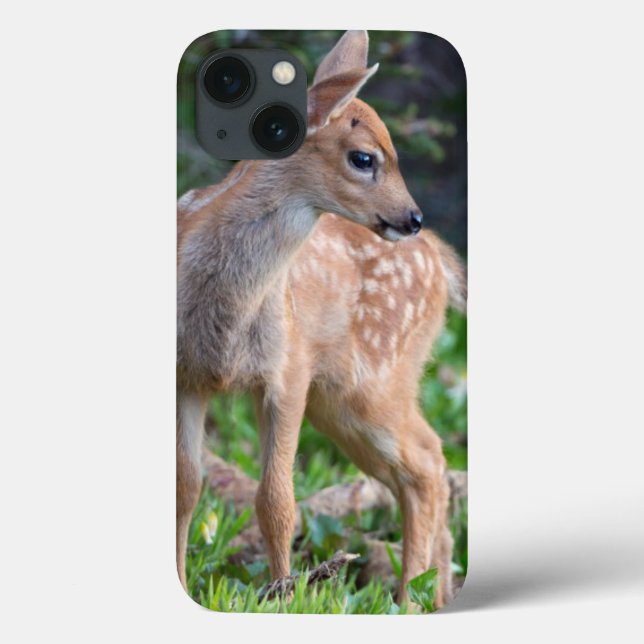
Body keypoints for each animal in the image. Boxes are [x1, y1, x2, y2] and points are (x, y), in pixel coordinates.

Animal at [177, 30, 466, 609]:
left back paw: (408, 599)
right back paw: (434, 594)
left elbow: (276, 499)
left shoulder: (287, 370)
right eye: (364, 157)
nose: (413, 216)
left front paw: (283, 595)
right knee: (423, 465)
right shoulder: (186, 377)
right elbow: (186, 489)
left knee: (426, 462)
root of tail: (441, 259)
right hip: (343, 402)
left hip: (373, 381)